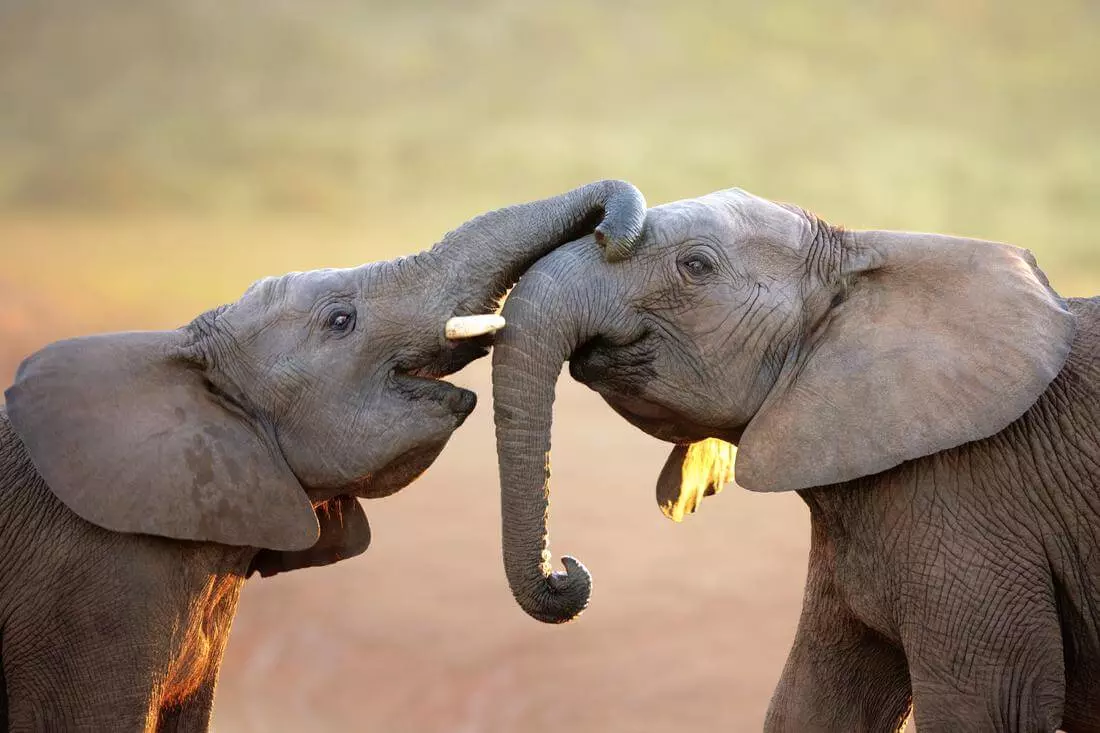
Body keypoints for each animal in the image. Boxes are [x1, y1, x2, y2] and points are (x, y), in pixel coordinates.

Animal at [492, 187, 1100, 730]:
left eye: (696, 266)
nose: (566, 571)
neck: (861, 258)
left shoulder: (974, 505)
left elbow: (990, 707)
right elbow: (814, 702)